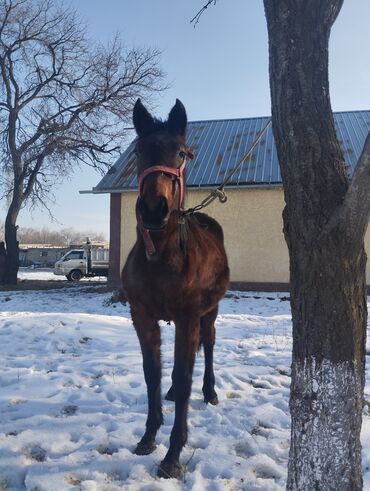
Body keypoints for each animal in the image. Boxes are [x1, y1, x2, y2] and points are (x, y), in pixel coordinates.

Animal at [121, 98, 230, 478]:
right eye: (139, 151)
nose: (154, 210)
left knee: (208, 346)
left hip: (210, 312)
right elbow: (152, 374)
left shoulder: (188, 318)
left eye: (181, 153)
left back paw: (210, 391)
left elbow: (185, 378)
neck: (162, 258)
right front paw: (147, 436)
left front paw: (172, 455)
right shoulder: (142, 318)